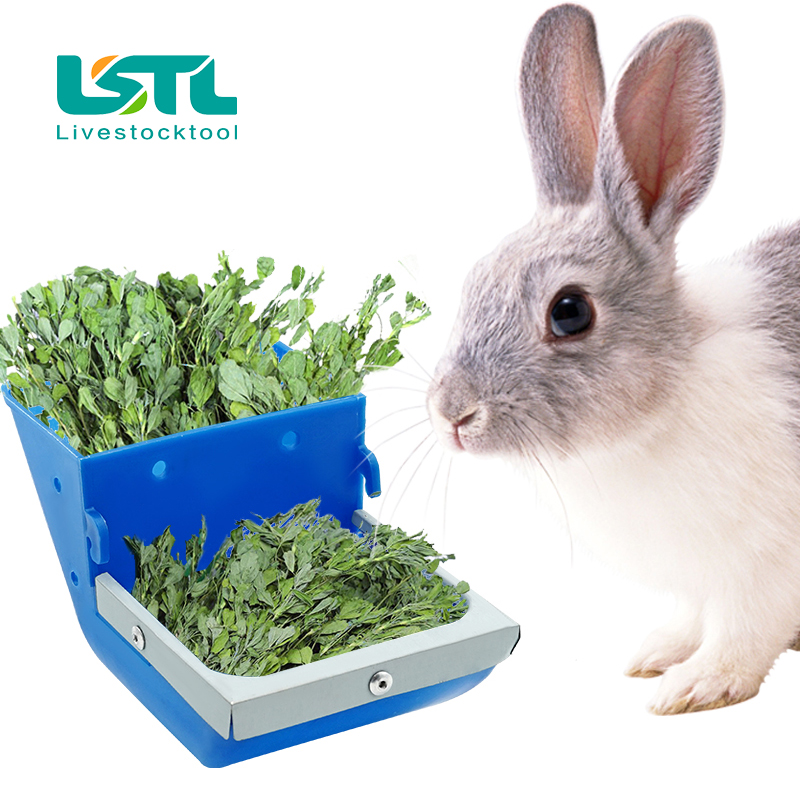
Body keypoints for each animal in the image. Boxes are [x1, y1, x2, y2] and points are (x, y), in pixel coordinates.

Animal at [427, 3, 800, 715]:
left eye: (569, 311)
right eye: (475, 279)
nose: (451, 413)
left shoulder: (762, 570)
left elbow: (740, 636)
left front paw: (693, 687)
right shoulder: (700, 580)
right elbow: (692, 619)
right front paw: (653, 656)